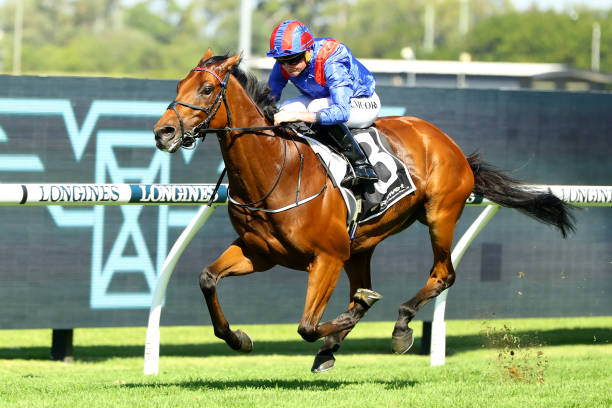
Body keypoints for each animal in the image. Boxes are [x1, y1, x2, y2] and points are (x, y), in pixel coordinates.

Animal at [153, 49, 572, 372]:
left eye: (207, 89)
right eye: (177, 87)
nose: (163, 132)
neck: (277, 169)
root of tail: (447, 142)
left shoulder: (326, 256)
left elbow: (308, 325)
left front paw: (352, 317)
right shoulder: (260, 252)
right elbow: (208, 279)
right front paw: (238, 337)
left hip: (440, 216)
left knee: (443, 275)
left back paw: (399, 327)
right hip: (360, 247)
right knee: (370, 284)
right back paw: (335, 344)